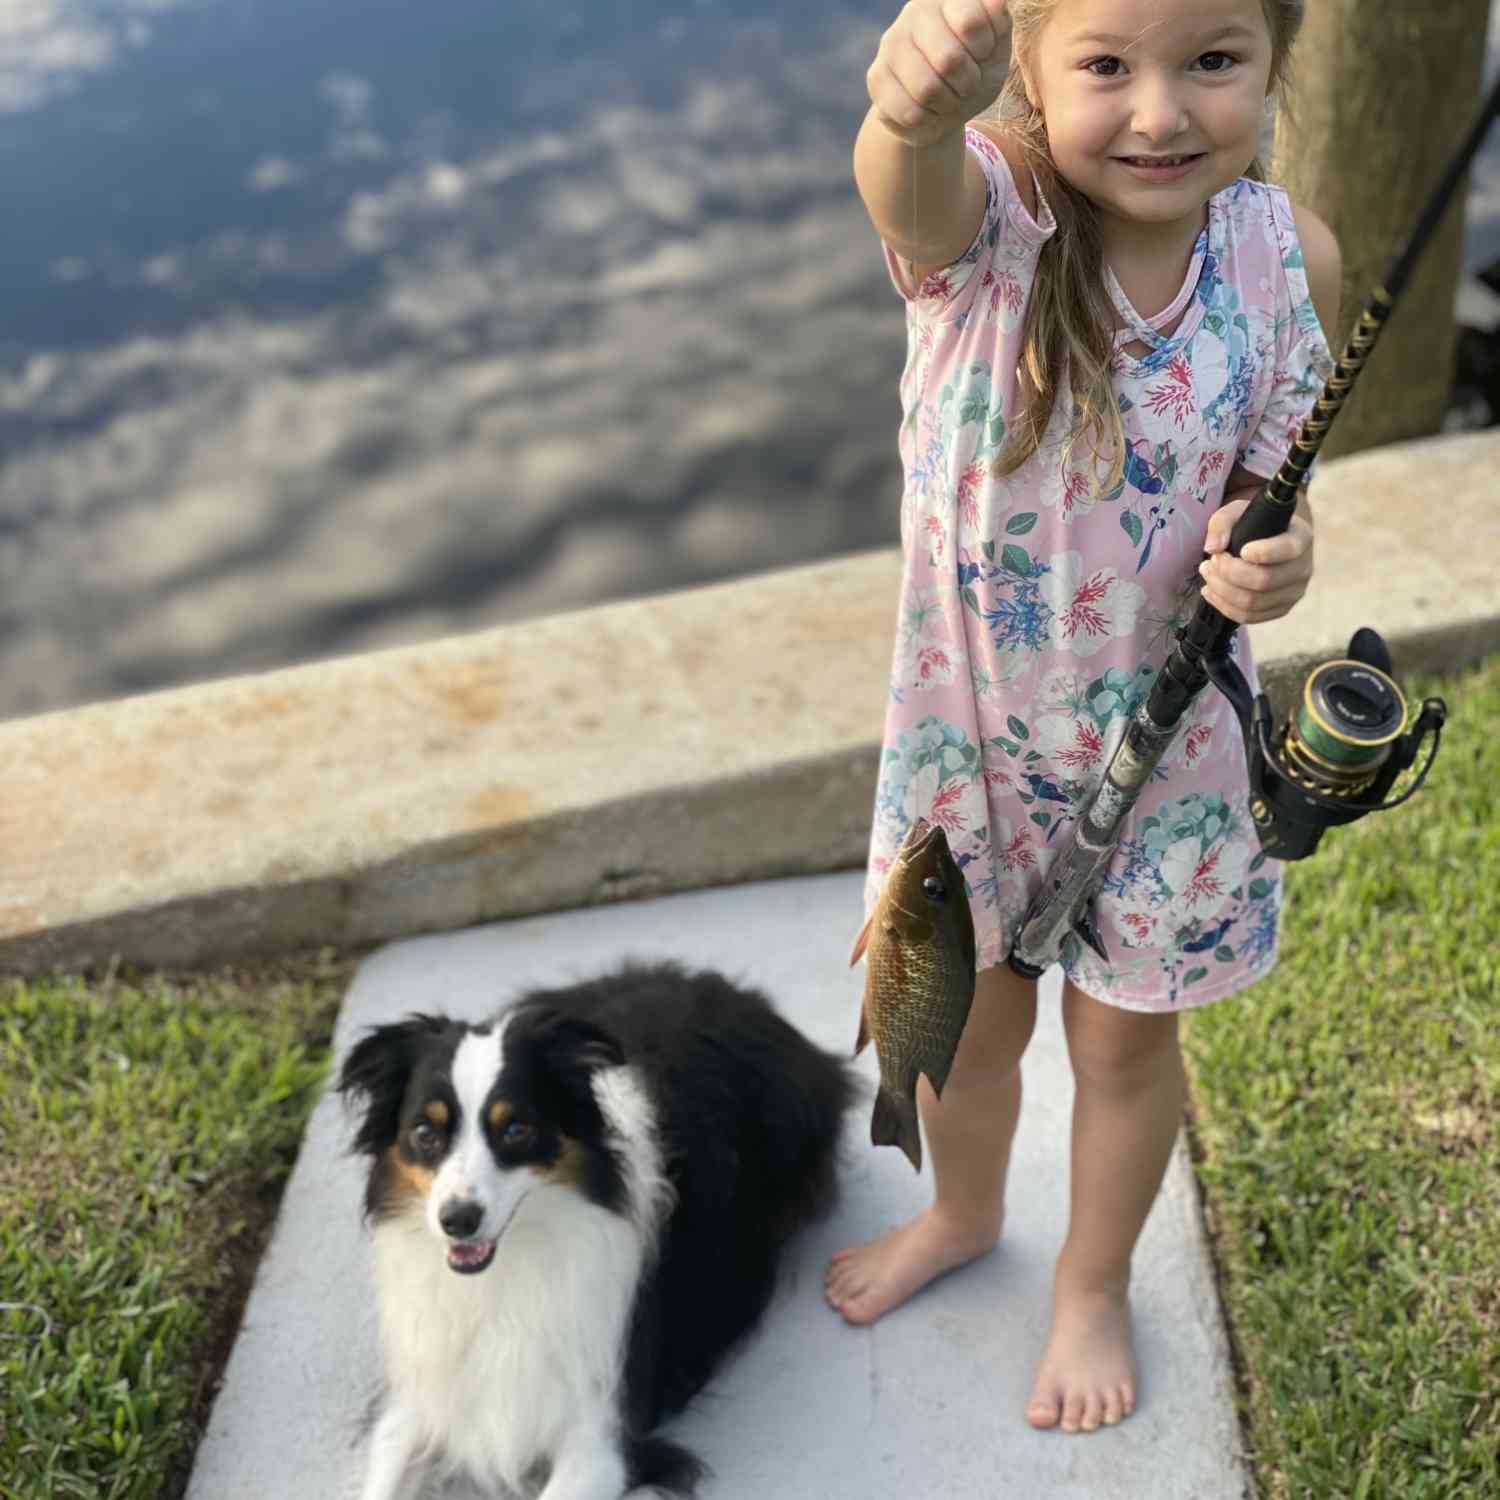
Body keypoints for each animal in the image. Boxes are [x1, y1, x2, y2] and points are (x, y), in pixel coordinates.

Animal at [339, 960, 858, 1500]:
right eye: (425, 1133)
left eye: (517, 1130)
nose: (458, 1221)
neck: (505, 1274)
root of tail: (735, 994)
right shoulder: (421, 1396)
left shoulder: (603, 1436)